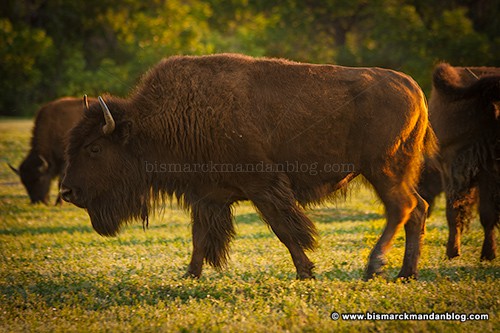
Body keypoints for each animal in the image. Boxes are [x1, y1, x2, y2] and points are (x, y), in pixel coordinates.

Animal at [61, 53, 438, 278]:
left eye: (94, 148)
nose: (67, 191)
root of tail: (414, 88)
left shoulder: (263, 187)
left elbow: (285, 230)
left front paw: (305, 271)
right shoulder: (207, 195)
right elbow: (199, 236)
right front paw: (190, 274)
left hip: (383, 170)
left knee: (402, 207)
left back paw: (374, 266)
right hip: (395, 171)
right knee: (417, 208)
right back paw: (406, 273)